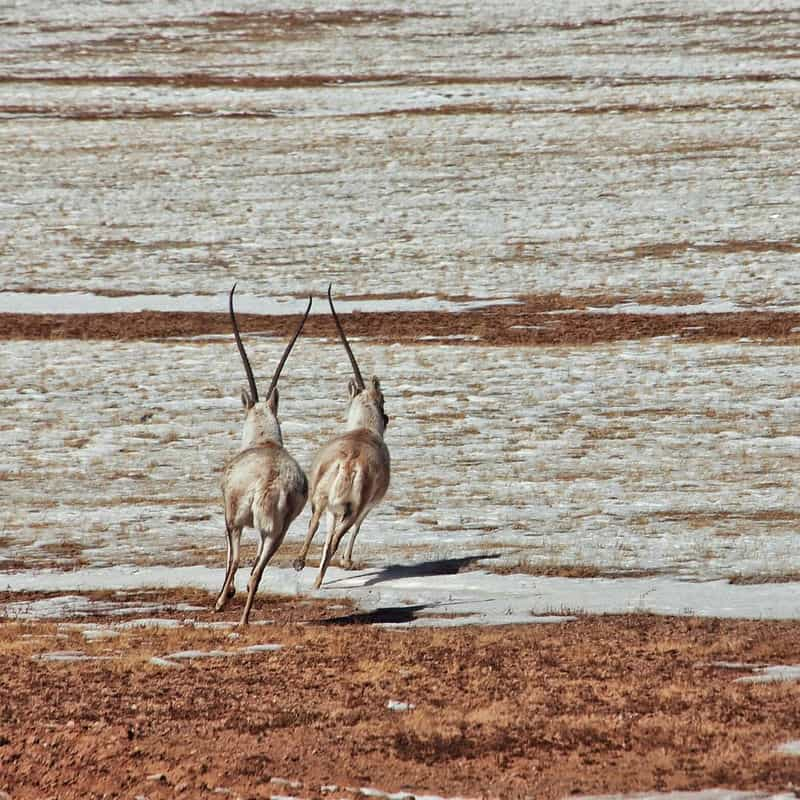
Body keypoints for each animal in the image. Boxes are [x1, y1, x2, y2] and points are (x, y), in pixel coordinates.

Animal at [216, 284, 312, 628]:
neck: (265, 441)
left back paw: (229, 610)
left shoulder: (231, 518)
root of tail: (272, 480)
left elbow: (231, 559)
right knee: (257, 572)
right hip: (277, 532)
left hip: (241, 521)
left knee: (240, 562)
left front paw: (224, 598)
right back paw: (243, 619)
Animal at [290, 284, 390, 584]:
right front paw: (347, 562)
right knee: (336, 537)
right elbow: (355, 529)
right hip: (352, 508)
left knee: (317, 525)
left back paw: (302, 564)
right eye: (384, 401)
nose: (387, 418)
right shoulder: (367, 508)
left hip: (321, 499)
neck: (363, 428)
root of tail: (349, 462)